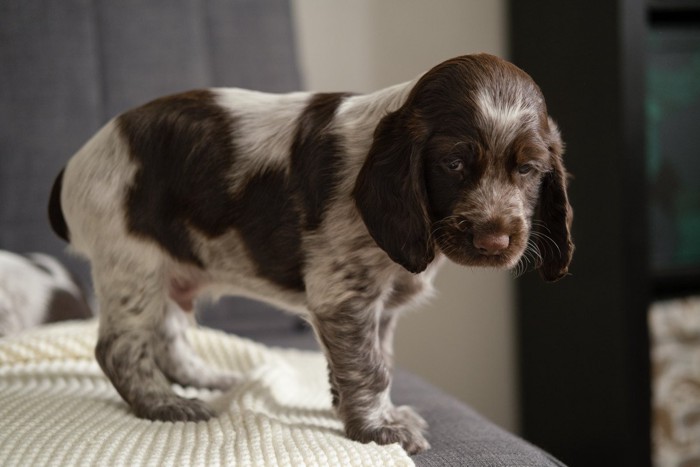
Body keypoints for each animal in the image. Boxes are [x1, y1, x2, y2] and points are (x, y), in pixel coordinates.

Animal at [49, 54, 576, 454]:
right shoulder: (344, 297)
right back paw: (164, 405)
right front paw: (379, 429)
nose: (495, 241)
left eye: (528, 169)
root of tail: (76, 162)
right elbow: (370, 366)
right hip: (132, 263)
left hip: (169, 270)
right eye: (453, 164)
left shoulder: (379, 307)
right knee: (119, 347)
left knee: (169, 334)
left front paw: (371, 413)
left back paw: (204, 380)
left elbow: (377, 359)